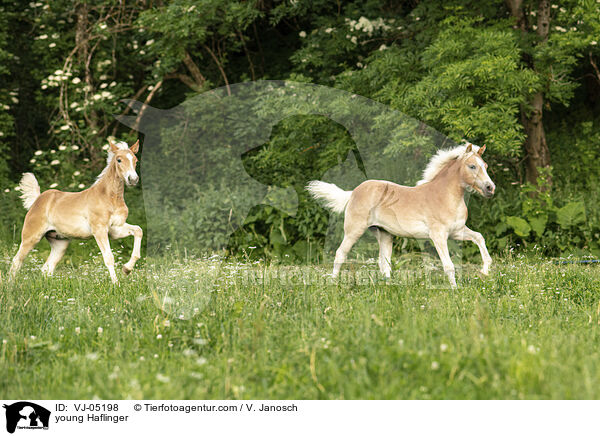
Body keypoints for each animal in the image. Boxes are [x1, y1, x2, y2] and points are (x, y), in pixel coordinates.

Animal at [9, 140, 143, 282]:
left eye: (135, 160)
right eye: (119, 160)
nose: (133, 179)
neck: (110, 198)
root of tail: (37, 200)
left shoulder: (115, 229)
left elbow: (138, 230)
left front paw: (126, 269)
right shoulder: (99, 230)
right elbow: (109, 257)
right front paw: (116, 284)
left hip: (59, 243)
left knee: (46, 267)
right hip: (31, 237)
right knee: (17, 261)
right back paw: (11, 285)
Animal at [308, 143, 494, 286]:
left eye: (485, 166)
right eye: (472, 166)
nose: (490, 188)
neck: (445, 196)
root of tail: (353, 192)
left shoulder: (456, 231)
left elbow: (479, 237)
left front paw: (485, 271)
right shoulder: (438, 235)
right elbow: (449, 265)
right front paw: (455, 291)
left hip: (384, 234)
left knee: (383, 262)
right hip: (354, 230)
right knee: (340, 253)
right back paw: (333, 283)